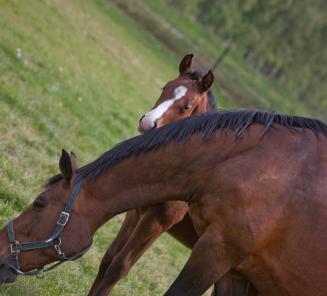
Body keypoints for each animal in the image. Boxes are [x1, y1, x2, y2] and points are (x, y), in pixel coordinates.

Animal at [89, 53, 256, 296]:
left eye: (187, 106)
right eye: (164, 87)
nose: (147, 123)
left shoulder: (159, 220)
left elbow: (119, 267)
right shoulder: (136, 212)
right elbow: (108, 259)